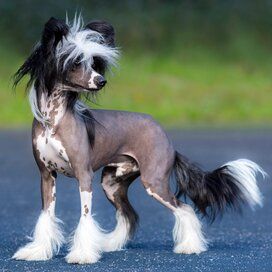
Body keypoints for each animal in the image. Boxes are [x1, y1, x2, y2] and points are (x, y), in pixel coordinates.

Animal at [12, 14, 266, 264]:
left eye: (93, 63)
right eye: (75, 62)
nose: (101, 80)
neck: (52, 121)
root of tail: (167, 139)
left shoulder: (84, 175)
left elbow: (85, 218)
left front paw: (82, 254)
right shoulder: (47, 175)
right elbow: (46, 216)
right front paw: (38, 251)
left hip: (154, 180)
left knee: (184, 209)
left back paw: (190, 246)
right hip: (112, 182)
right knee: (128, 214)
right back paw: (112, 244)